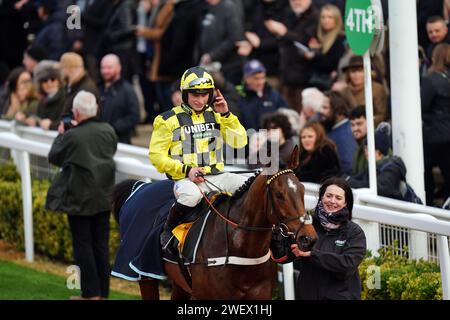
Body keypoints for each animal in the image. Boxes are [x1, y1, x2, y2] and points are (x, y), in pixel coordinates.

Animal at [112, 148, 316, 300]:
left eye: (302, 190)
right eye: (279, 195)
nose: (308, 238)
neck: (239, 247)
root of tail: (140, 187)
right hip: (145, 275)